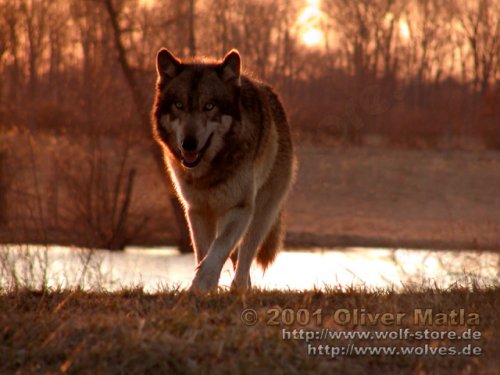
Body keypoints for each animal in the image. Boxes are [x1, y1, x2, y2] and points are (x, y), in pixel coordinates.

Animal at [150, 47, 294, 294]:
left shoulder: (239, 208)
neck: (209, 171)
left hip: (261, 213)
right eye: (179, 105)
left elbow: (219, 246)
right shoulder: (197, 210)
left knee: (245, 253)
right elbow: (204, 252)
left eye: (209, 106)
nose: (189, 144)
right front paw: (207, 287)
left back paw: (240, 288)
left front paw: (202, 282)